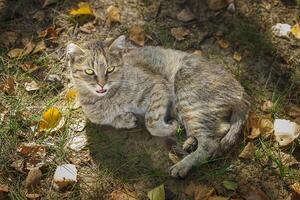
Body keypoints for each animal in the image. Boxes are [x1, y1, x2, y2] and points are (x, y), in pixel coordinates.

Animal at [67, 36, 250, 178]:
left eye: (110, 69)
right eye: (89, 72)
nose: (102, 84)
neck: (105, 98)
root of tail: (241, 92)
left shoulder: (158, 87)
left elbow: (151, 122)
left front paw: (169, 127)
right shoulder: (97, 114)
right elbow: (109, 118)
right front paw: (125, 119)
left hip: (187, 96)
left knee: (210, 143)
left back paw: (183, 165)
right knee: (219, 129)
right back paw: (190, 143)